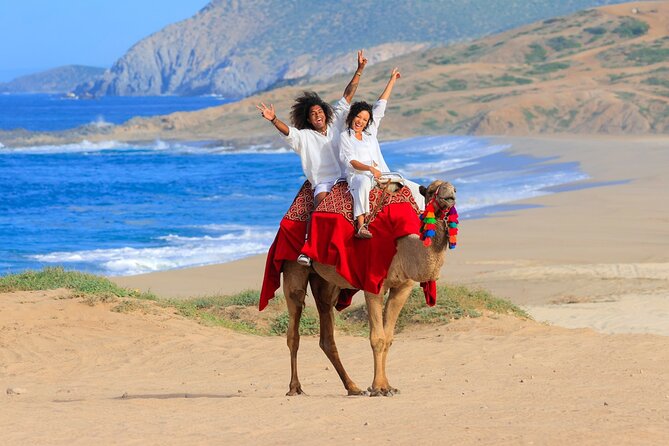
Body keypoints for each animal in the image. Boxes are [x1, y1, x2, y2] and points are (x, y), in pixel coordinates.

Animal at [281, 180, 456, 396]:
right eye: (431, 191)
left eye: (455, 189)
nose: (449, 194)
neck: (404, 247)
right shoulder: (373, 285)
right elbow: (377, 338)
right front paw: (379, 387)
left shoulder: (403, 286)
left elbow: (388, 337)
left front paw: (387, 386)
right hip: (292, 267)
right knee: (294, 327)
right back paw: (295, 387)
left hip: (326, 282)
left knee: (326, 331)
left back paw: (352, 387)